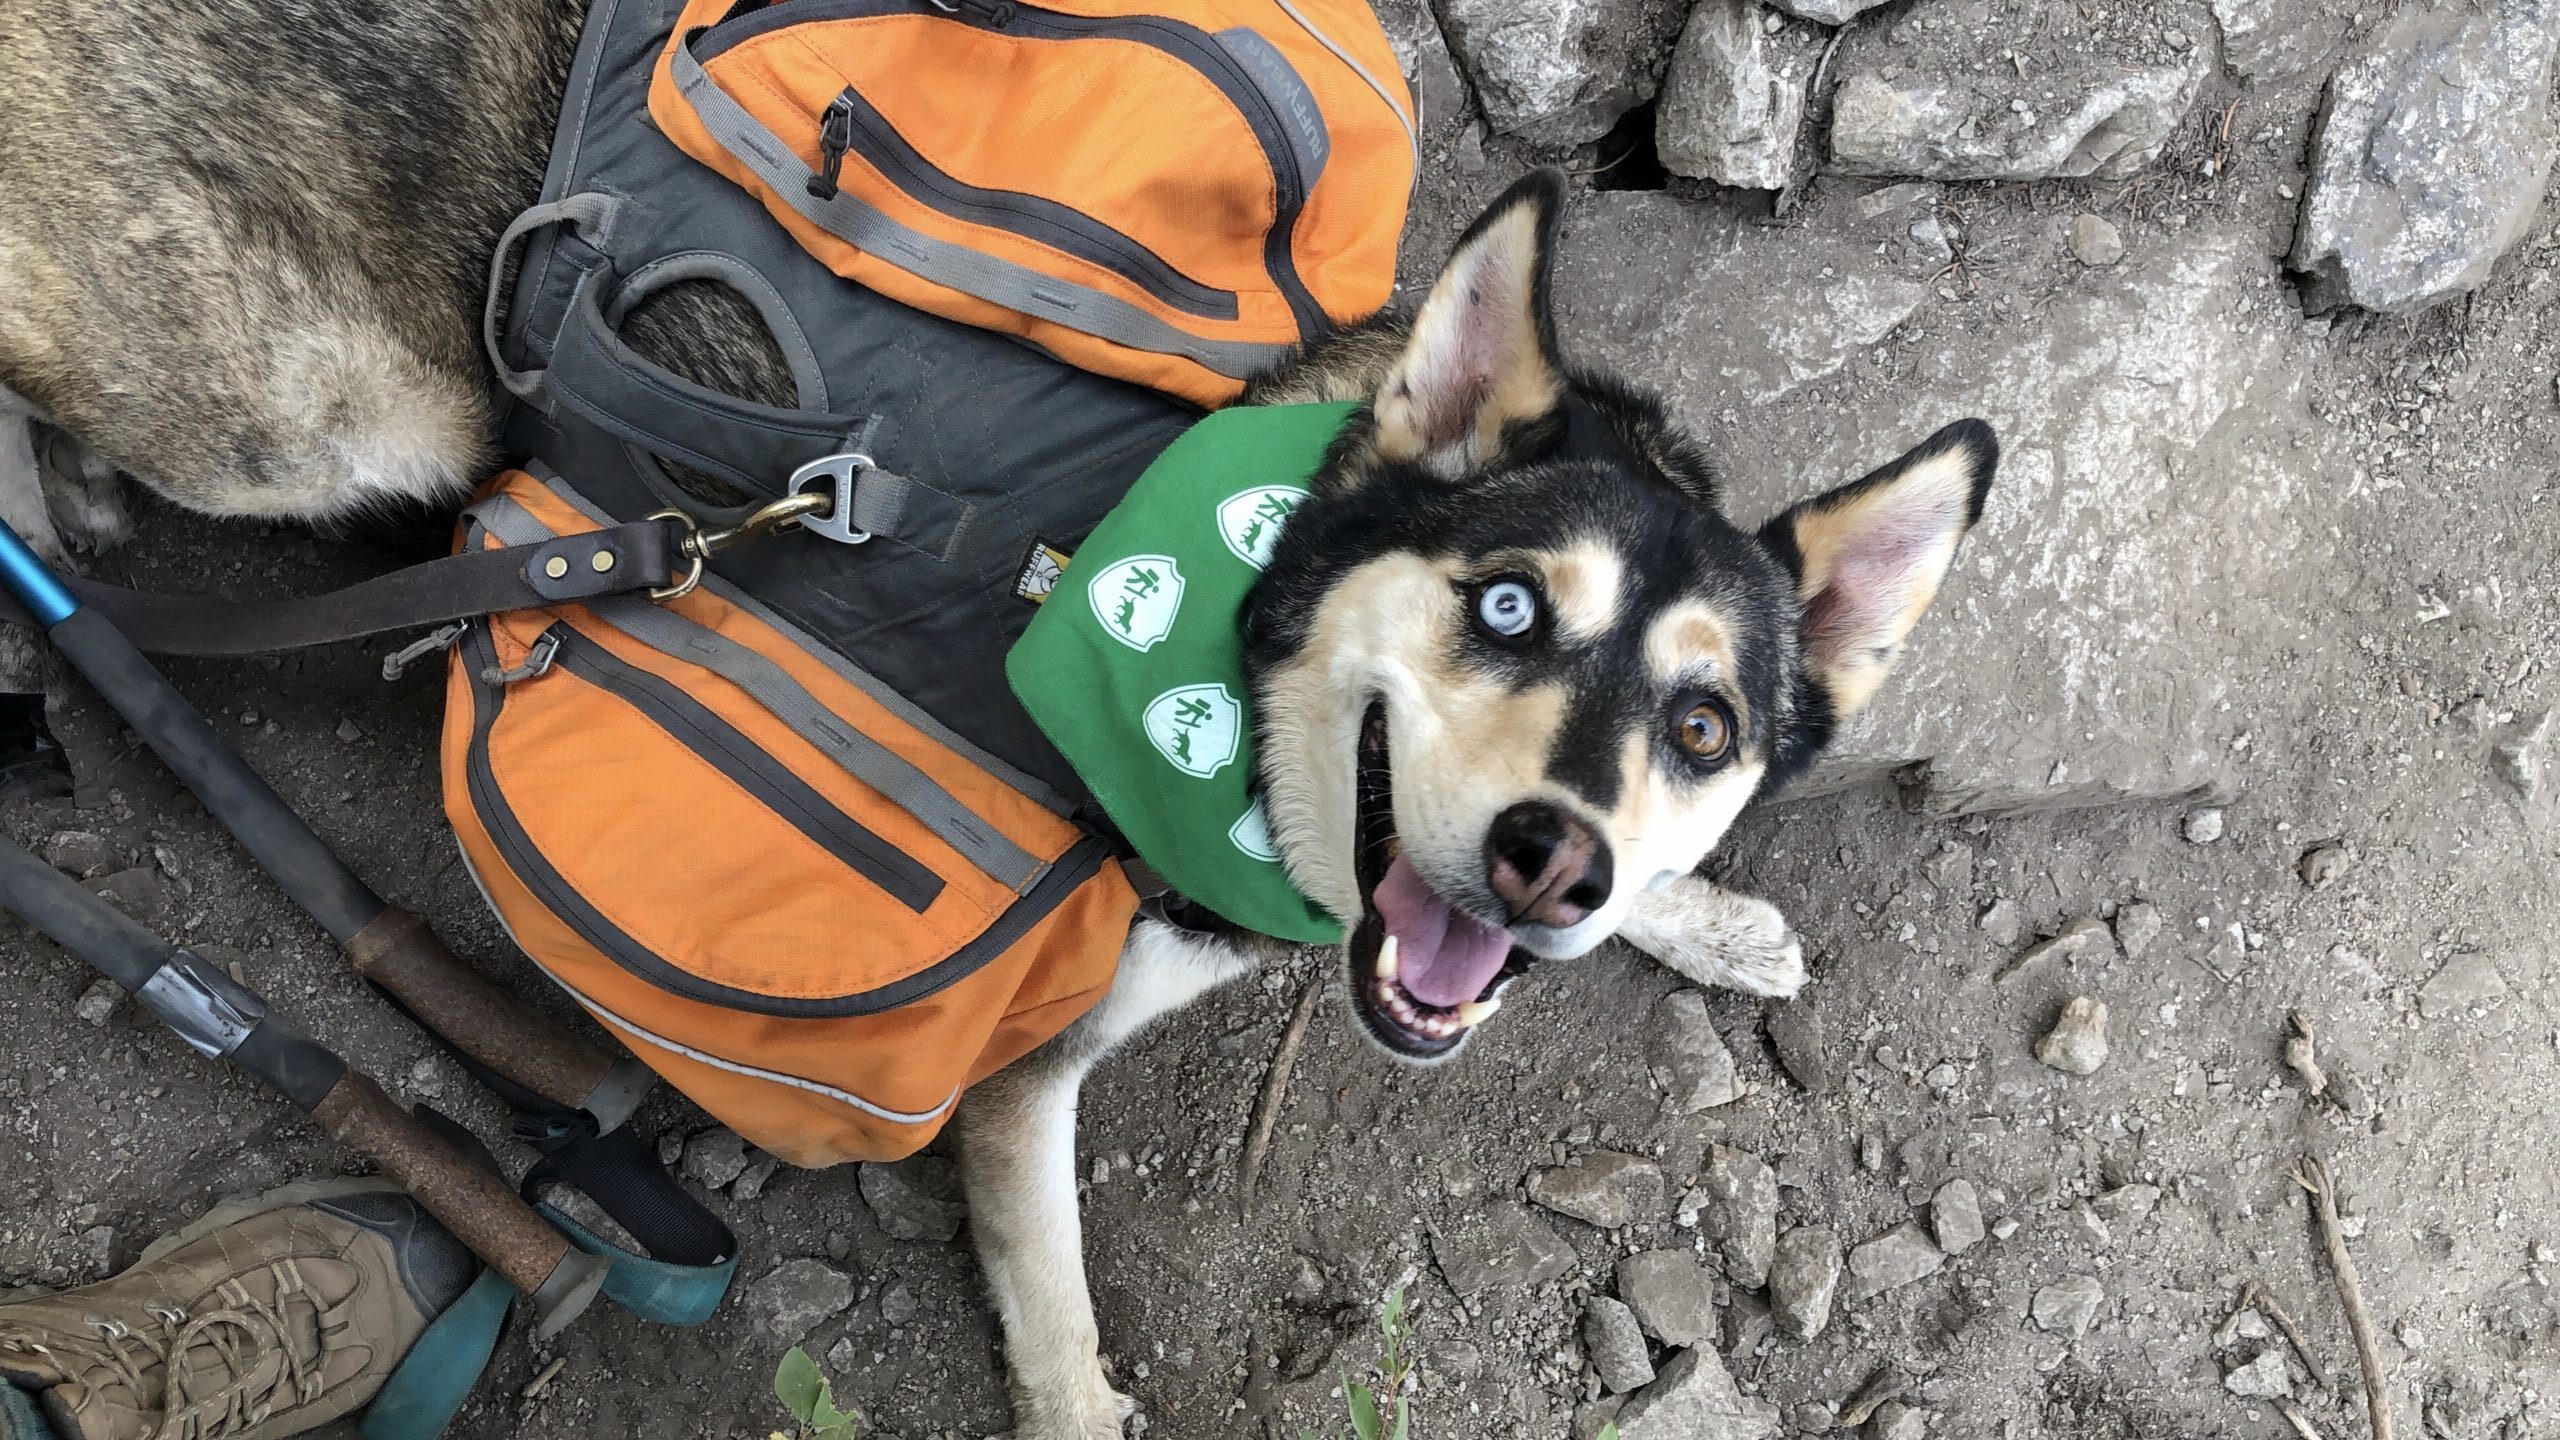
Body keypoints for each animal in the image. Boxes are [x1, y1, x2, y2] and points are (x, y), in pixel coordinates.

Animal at [0, 0, 1996, 1424]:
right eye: (1505, 606)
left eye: (1706, 729)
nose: (1544, 864)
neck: (1238, 633)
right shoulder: (1024, 1081)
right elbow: (1058, 1334)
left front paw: (1709, 919)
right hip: (282, 407)